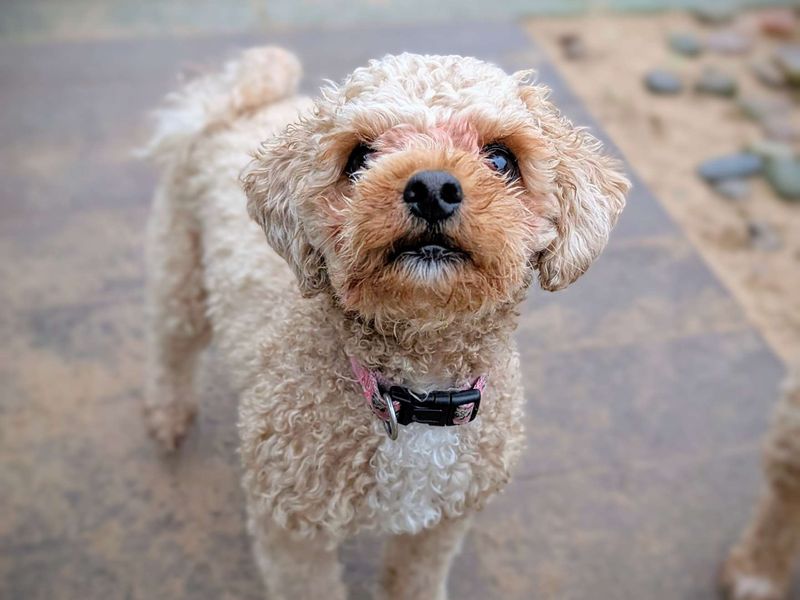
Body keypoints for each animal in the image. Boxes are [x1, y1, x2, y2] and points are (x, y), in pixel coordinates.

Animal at [144, 44, 632, 596]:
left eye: (501, 159)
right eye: (358, 158)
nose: (433, 187)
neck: (416, 393)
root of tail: (234, 103)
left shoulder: (442, 523)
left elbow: (413, 579)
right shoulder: (291, 526)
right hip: (181, 270)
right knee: (170, 343)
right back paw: (167, 415)